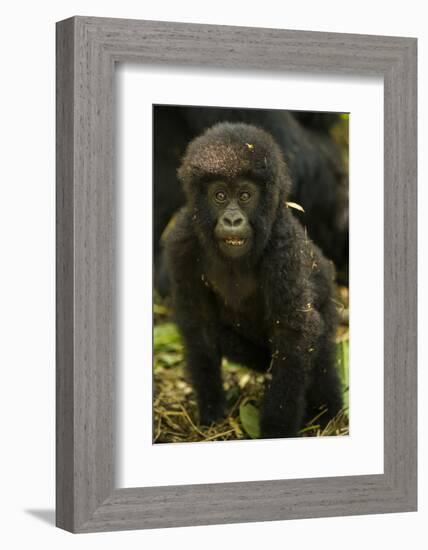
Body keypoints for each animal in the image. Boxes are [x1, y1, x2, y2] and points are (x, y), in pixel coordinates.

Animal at [166, 122, 342, 440]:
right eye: (220, 196)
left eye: (245, 196)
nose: (233, 220)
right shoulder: (182, 242)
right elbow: (200, 327)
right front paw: (212, 413)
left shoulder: (283, 246)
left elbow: (293, 332)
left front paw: (276, 431)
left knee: (321, 356)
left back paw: (328, 415)